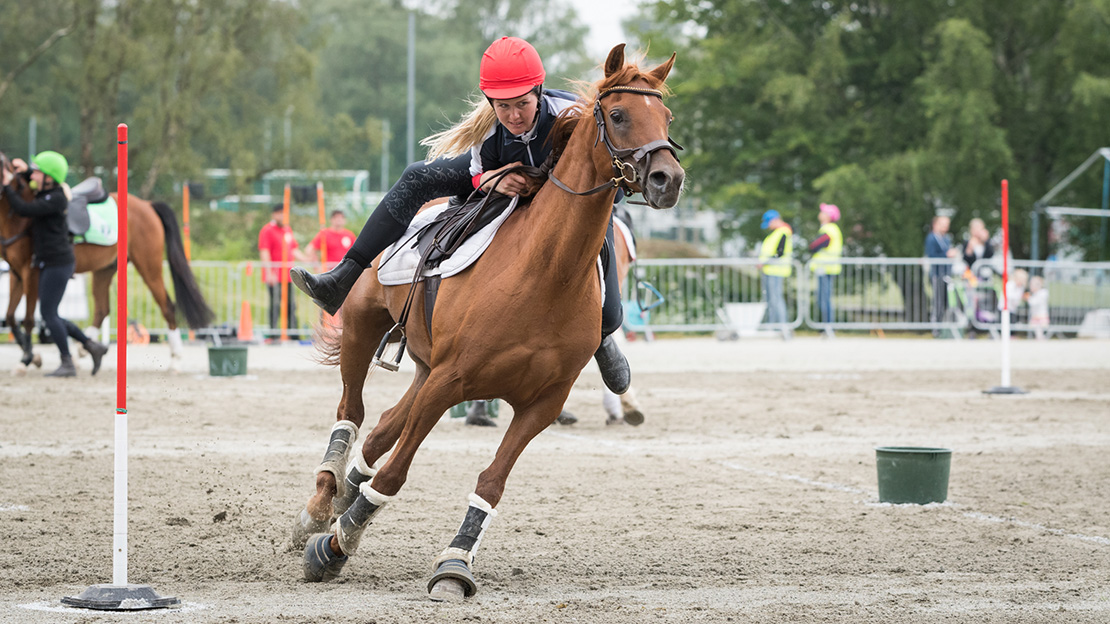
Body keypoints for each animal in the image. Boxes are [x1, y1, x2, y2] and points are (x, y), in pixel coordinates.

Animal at [0, 152, 214, 368]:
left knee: (167, 306)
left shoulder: (31, 273)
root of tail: (147, 205)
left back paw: (175, 359)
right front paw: (29, 356)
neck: (19, 215)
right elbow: (10, 316)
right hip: (104, 269)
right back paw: (83, 351)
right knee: (102, 310)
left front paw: (28, 359)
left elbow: (28, 318)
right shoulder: (16, 274)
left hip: (149, 266)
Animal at [290, 43, 679, 599]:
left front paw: (454, 563)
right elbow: (393, 477)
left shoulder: (540, 402)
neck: (546, 273)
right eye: (621, 114)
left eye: (667, 118)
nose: (669, 179)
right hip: (367, 330)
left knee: (382, 428)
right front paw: (334, 546)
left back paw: (343, 495)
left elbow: (490, 482)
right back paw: (323, 501)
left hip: (425, 369)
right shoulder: (449, 381)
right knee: (353, 410)